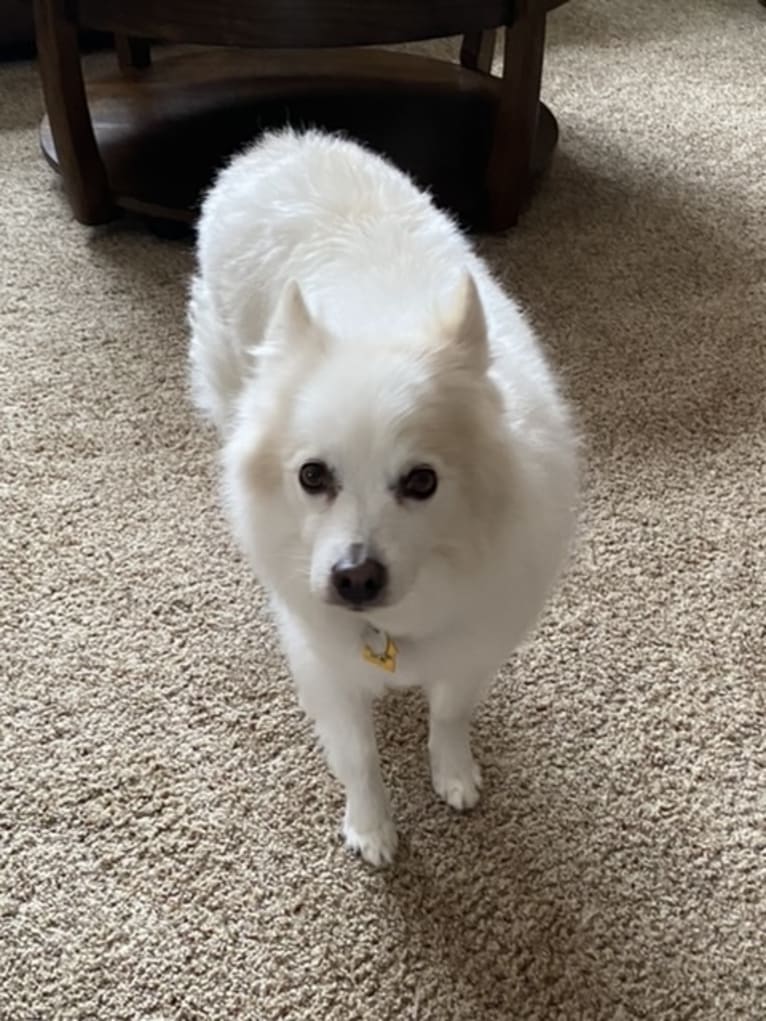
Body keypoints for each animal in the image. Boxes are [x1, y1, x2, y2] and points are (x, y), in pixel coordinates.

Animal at [188, 125, 580, 861]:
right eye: (313, 476)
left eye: (421, 482)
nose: (355, 578)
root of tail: (277, 144)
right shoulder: (326, 666)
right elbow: (358, 755)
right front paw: (371, 826)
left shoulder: (475, 641)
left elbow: (449, 713)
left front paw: (452, 772)